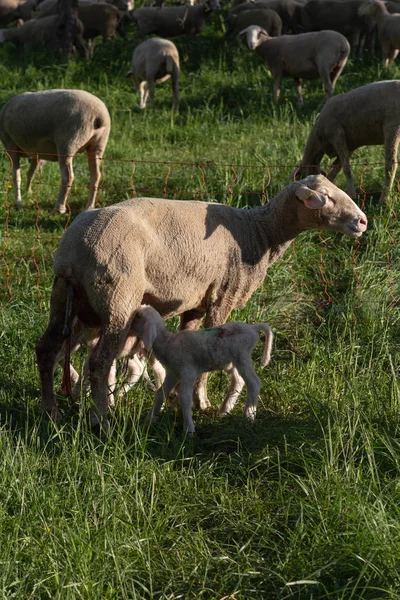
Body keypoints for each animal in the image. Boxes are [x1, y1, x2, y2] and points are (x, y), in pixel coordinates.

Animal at [131, 304, 276, 432]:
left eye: (138, 315)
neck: (168, 342)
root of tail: (252, 328)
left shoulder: (188, 372)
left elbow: (185, 398)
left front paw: (188, 429)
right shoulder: (173, 373)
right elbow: (160, 393)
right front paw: (149, 420)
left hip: (242, 356)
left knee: (254, 382)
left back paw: (248, 417)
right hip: (230, 361)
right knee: (239, 381)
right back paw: (224, 410)